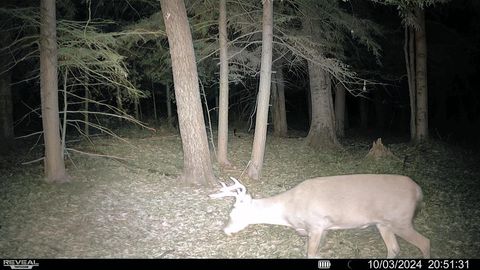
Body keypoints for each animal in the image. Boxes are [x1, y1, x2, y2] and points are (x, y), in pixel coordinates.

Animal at [210, 174, 432, 258]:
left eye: (233, 212)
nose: (224, 229)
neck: (289, 210)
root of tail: (418, 190)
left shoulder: (317, 225)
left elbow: (310, 254)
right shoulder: (321, 229)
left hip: (401, 220)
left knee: (425, 242)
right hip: (383, 223)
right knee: (394, 249)